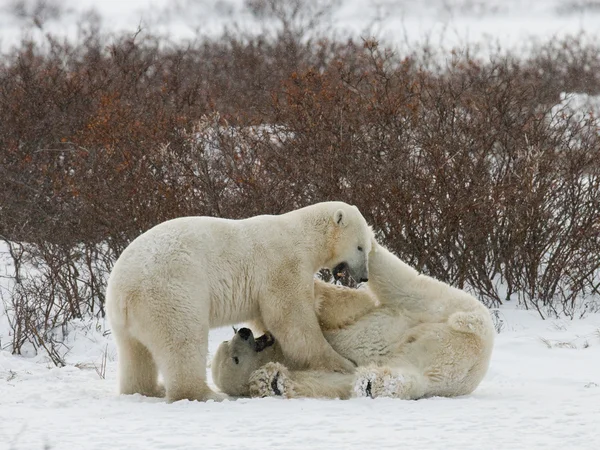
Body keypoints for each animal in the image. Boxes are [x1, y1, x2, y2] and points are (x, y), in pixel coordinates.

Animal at [105, 200, 372, 400]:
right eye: (360, 247)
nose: (364, 276)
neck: (302, 235)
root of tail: (123, 292)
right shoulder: (282, 265)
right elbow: (292, 320)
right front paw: (344, 363)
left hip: (126, 318)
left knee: (135, 352)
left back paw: (149, 389)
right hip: (171, 291)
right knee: (182, 341)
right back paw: (204, 393)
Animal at [213, 241, 494, 400]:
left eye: (230, 345)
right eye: (234, 358)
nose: (243, 332)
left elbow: (343, 307)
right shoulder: (318, 368)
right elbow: (333, 383)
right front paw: (271, 381)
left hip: (435, 308)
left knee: (404, 285)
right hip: (439, 369)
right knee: (410, 375)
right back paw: (371, 383)